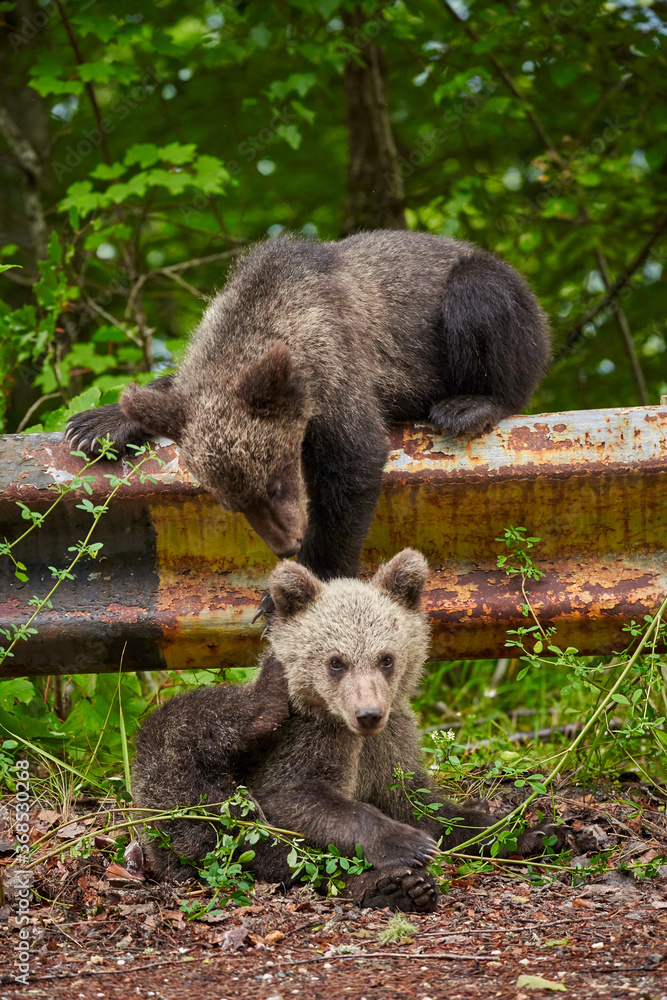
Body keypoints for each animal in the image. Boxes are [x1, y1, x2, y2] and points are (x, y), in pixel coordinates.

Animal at [66, 230, 551, 605]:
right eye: (232, 503)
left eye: (276, 482)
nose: (286, 545)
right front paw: (96, 424)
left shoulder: (338, 370)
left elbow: (352, 469)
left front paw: (297, 589)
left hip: (494, 306)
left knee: (483, 303)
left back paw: (470, 404)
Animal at [131, 548, 567, 913]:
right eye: (335, 661)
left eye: (386, 658)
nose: (368, 714)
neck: (350, 732)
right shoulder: (305, 740)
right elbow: (297, 798)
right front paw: (407, 844)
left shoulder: (392, 744)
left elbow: (425, 805)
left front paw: (533, 831)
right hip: (175, 776)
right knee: (231, 816)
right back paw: (391, 885)